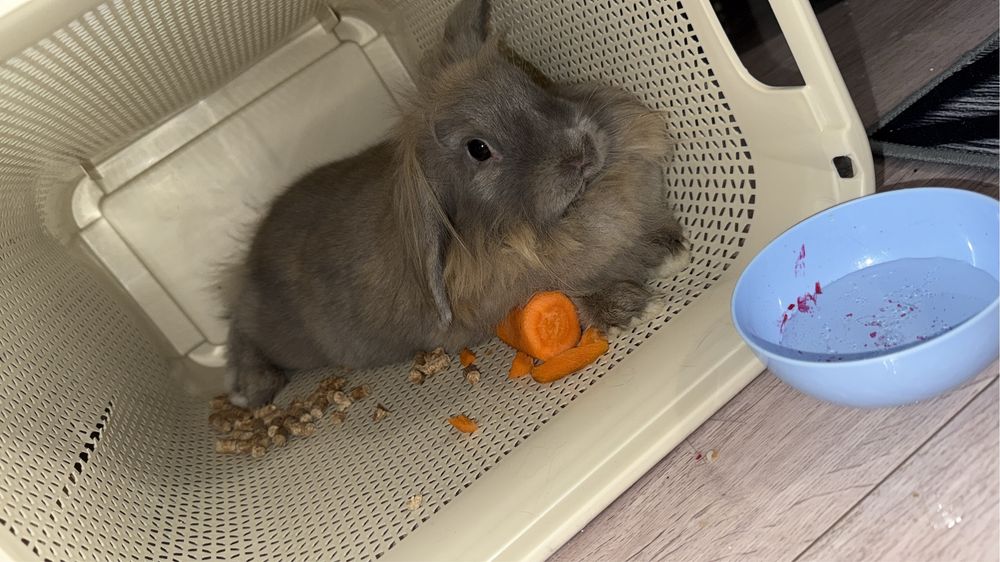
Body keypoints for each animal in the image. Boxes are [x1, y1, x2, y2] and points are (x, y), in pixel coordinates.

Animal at [224, 0, 689, 407]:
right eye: (478, 149)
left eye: (525, 79)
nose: (580, 153)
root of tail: (248, 263)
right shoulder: (518, 298)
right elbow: (575, 294)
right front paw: (637, 308)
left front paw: (671, 251)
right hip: (281, 335)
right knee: (241, 334)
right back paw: (253, 390)